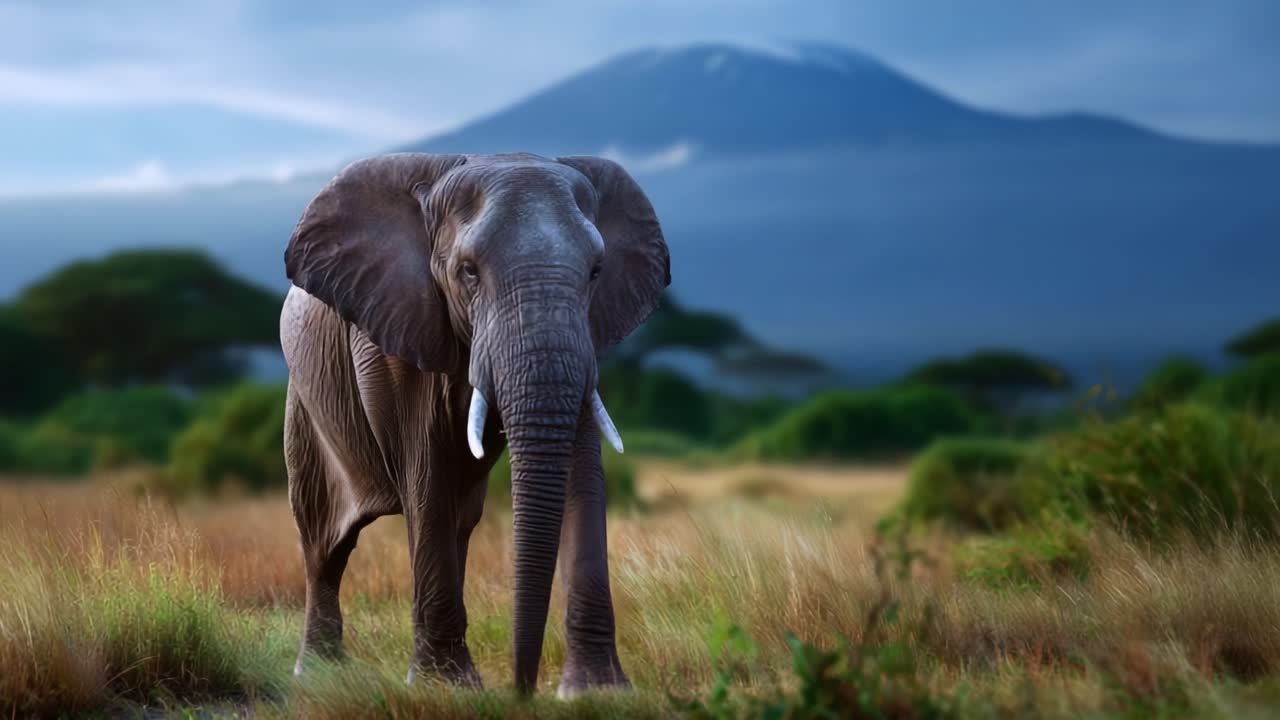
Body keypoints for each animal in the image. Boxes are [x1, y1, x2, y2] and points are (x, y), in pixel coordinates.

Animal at [279, 152, 669, 696]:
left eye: (596, 271)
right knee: (324, 543)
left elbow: (582, 472)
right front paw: (444, 688)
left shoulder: (587, 334)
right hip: (305, 408)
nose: (523, 689)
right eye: (468, 272)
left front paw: (597, 692)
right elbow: (424, 476)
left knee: (459, 523)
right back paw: (319, 675)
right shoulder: (393, 331)